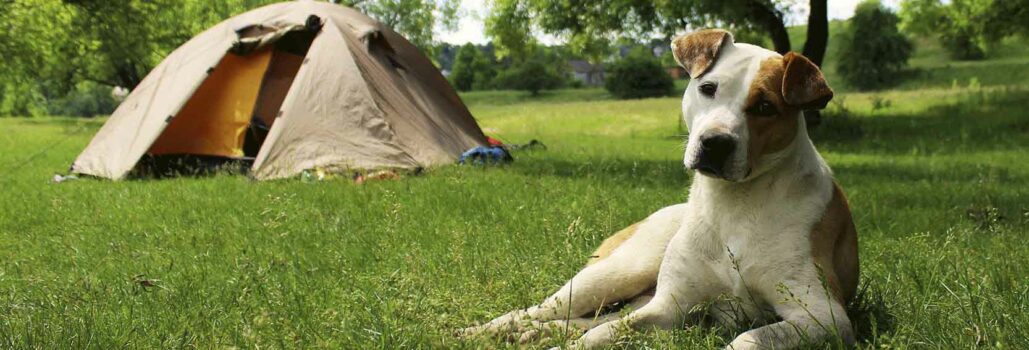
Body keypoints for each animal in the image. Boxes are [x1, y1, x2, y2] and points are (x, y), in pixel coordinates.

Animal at [460, 28, 860, 347]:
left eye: (765, 106)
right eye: (708, 88)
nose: (715, 143)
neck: (734, 202)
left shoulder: (821, 314)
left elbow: (750, 337)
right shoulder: (669, 306)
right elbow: (603, 333)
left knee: (585, 319)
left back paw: (534, 334)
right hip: (618, 272)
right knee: (540, 310)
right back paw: (486, 330)